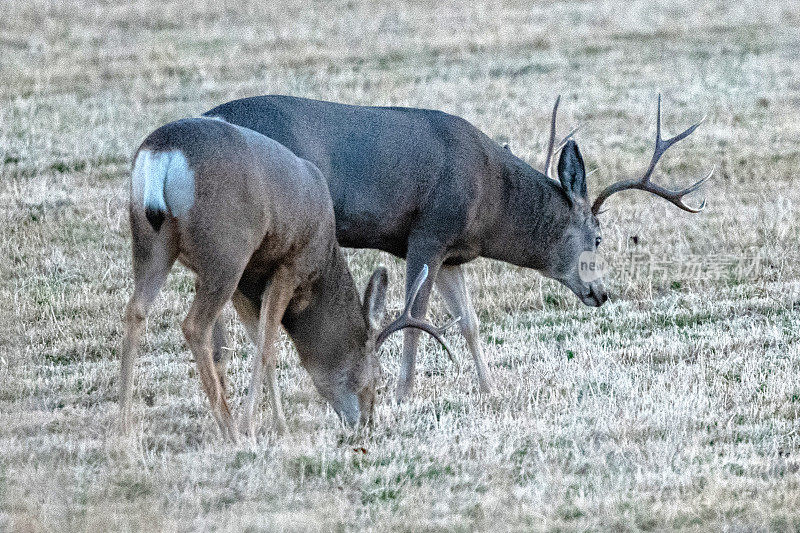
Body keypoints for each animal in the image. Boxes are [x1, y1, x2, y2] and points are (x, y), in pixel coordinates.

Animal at [118, 117, 450, 440]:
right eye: (378, 375)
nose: (367, 423)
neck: (322, 263)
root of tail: (163, 152)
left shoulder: (247, 282)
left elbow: (260, 342)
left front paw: (278, 424)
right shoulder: (290, 265)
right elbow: (267, 347)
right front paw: (254, 426)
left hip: (152, 241)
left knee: (135, 310)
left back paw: (125, 423)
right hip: (226, 252)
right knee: (194, 325)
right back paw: (230, 431)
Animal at [208, 93, 712, 402]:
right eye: (599, 237)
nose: (601, 293)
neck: (491, 198)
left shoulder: (453, 253)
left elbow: (469, 321)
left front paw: (491, 388)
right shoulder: (426, 235)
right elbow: (416, 319)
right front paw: (403, 392)